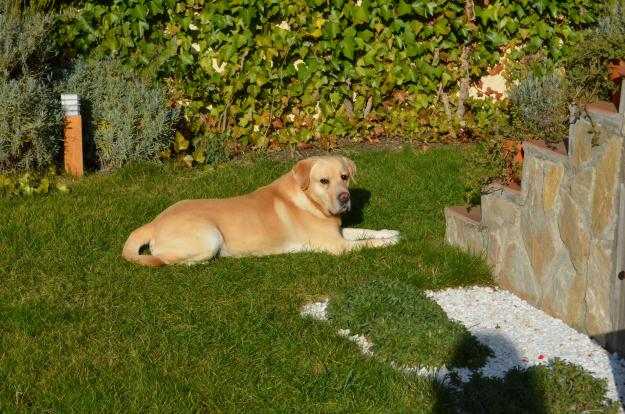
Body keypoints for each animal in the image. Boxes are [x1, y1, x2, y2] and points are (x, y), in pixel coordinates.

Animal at [123, 154, 400, 266]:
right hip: (210, 235)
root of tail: (153, 222)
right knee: (163, 259)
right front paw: (389, 242)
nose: (345, 198)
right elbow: (366, 243)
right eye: (324, 181)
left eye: (344, 177)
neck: (309, 200)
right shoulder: (337, 246)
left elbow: (365, 232)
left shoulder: (339, 232)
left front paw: (389, 232)